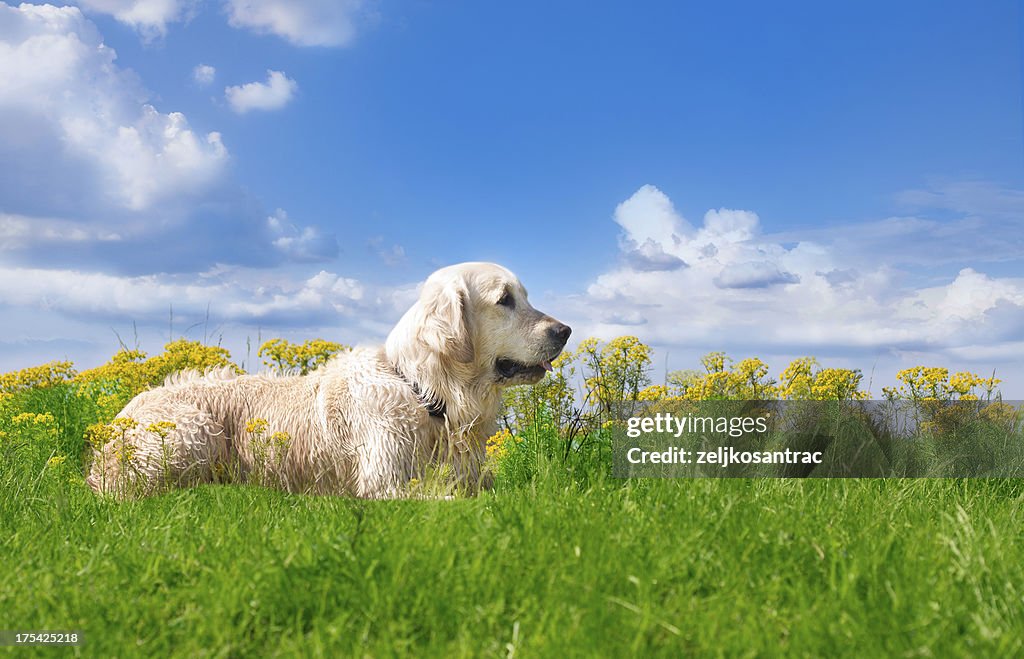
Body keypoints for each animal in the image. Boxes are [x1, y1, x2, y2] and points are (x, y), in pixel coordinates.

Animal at [86, 261, 569, 499]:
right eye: (505, 300)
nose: (564, 331)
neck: (424, 392)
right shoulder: (384, 484)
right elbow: (471, 502)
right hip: (192, 430)